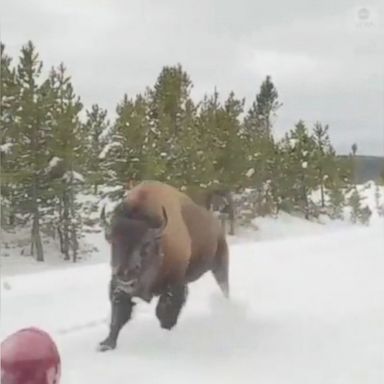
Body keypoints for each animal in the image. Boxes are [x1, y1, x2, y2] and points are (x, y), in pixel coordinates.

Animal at [97, 180, 230, 352]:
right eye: (113, 241)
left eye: (146, 244)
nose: (126, 276)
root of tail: (216, 225)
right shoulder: (118, 288)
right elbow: (118, 315)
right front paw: (106, 344)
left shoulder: (174, 285)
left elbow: (164, 313)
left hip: (220, 266)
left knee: (224, 287)